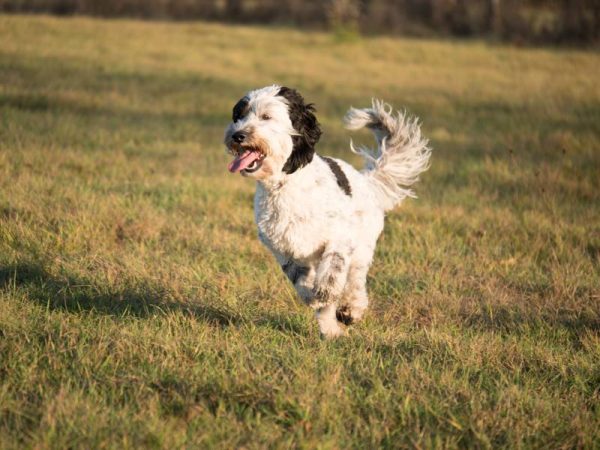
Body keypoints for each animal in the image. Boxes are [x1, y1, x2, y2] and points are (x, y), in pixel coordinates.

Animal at [225, 85, 432, 338]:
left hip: (362, 246)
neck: (285, 185)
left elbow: (333, 271)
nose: (237, 135)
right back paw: (332, 330)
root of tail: (367, 180)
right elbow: (301, 280)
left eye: (266, 116)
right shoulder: (283, 249)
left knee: (355, 279)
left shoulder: (339, 238)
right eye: (239, 116)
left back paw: (351, 309)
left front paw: (325, 292)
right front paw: (314, 299)